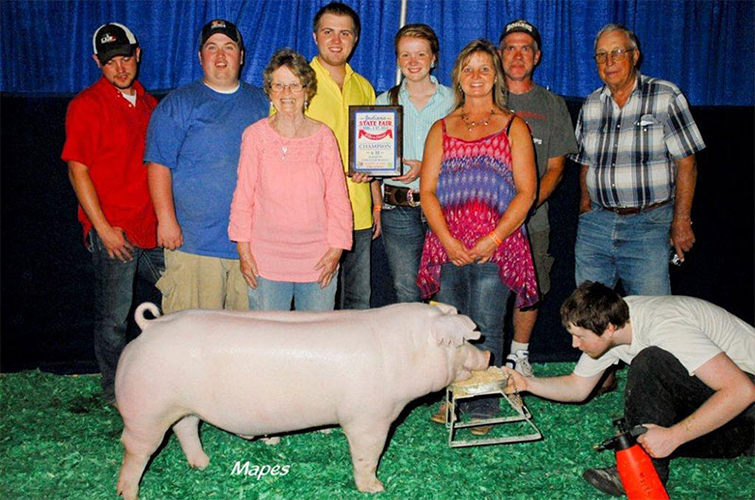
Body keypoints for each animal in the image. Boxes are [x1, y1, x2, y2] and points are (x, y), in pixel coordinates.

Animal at [115, 302, 490, 499]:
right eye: (460, 343)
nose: (487, 355)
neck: (405, 351)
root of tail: (149, 330)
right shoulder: (368, 416)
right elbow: (367, 453)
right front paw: (375, 488)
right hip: (146, 407)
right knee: (136, 448)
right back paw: (129, 493)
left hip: (181, 406)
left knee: (186, 428)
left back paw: (202, 465)